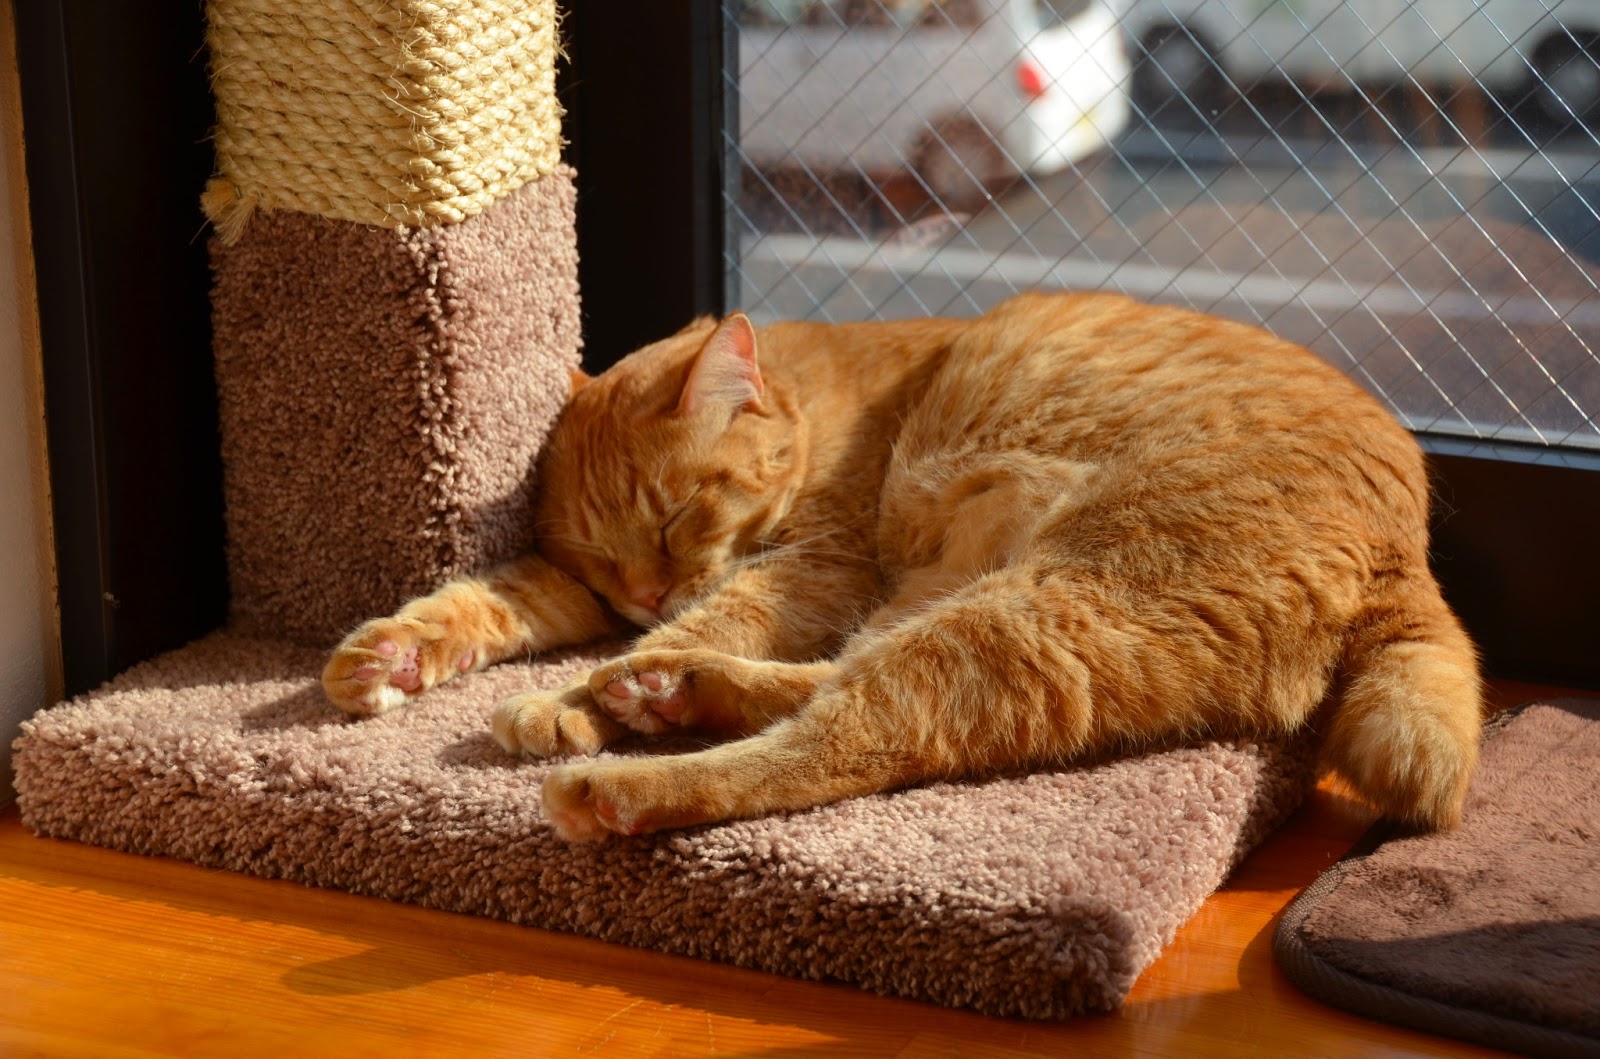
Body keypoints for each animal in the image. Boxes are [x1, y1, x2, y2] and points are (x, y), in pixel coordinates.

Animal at [318, 292, 1478, 844]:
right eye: (604, 554)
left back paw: (623, 770)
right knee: (830, 690)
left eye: (681, 516)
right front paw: (392, 659)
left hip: (1042, 604)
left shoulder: (812, 568)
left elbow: (711, 614)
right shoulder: (584, 589)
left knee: (842, 740)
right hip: (965, 601)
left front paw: (566, 702)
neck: (816, 404)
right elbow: (488, 599)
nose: (644, 592)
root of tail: (1410, 551)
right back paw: (672, 693)